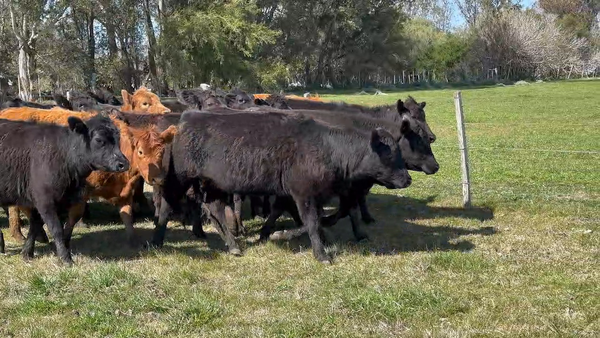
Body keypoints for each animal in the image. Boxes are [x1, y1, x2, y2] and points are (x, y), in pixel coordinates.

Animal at [0, 114, 129, 262]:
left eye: (118, 139)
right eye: (99, 140)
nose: (124, 164)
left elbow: (35, 225)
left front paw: (27, 253)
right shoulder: (44, 199)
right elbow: (56, 230)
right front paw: (66, 258)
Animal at [1, 107, 177, 244]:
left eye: (162, 152)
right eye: (140, 152)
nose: (158, 178)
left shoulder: (125, 192)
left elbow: (127, 215)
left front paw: (133, 241)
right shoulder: (82, 191)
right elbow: (74, 216)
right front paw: (66, 239)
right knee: (17, 208)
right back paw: (20, 235)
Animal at [152, 112, 410, 262]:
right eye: (389, 155)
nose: (407, 180)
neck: (328, 148)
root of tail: (184, 119)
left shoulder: (296, 194)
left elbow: (303, 217)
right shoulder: (304, 193)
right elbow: (311, 222)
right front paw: (321, 254)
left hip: (213, 184)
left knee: (215, 211)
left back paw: (233, 245)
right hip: (179, 179)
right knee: (166, 205)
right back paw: (157, 240)